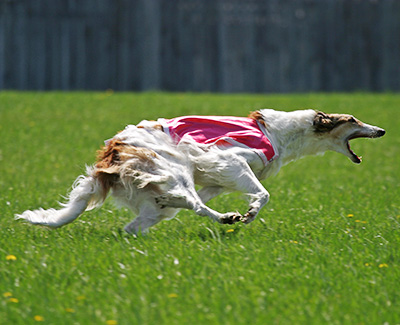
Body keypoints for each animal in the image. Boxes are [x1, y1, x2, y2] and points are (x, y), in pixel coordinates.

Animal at [15, 109, 384, 233]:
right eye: (353, 119)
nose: (381, 130)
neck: (281, 131)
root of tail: (110, 157)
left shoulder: (217, 180)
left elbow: (219, 192)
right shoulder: (228, 158)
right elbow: (263, 193)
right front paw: (249, 212)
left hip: (155, 203)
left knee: (134, 226)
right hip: (173, 172)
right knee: (193, 204)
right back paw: (226, 218)